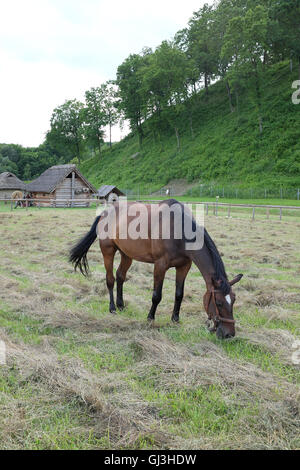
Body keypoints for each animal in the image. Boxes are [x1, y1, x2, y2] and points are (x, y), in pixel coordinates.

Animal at [69, 200, 243, 340]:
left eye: (234, 300)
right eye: (219, 302)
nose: (229, 334)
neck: (178, 229)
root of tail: (105, 213)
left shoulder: (184, 266)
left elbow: (179, 294)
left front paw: (175, 319)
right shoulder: (160, 265)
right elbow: (156, 296)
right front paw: (150, 318)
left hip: (127, 254)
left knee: (120, 276)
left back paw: (121, 305)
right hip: (108, 251)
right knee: (110, 279)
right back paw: (112, 308)